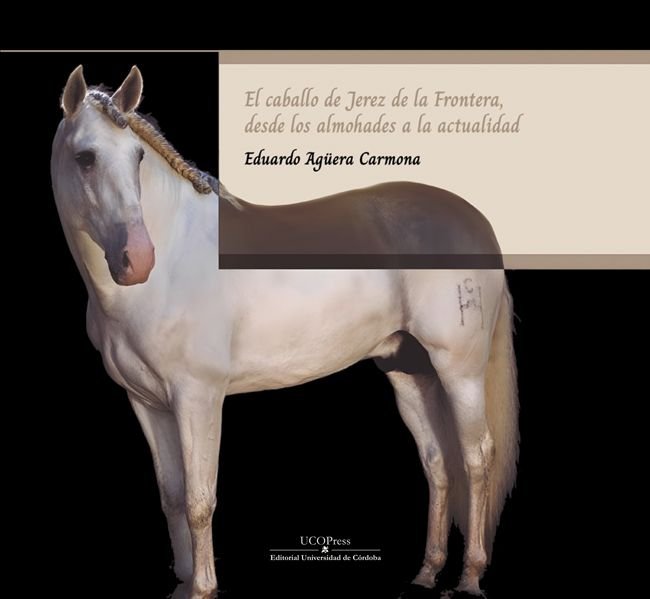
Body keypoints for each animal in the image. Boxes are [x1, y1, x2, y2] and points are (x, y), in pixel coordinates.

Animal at [51, 65, 518, 599]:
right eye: (85, 158)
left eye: (138, 157)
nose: (137, 260)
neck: (173, 261)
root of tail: (476, 222)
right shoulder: (147, 402)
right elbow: (172, 496)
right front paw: (184, 583)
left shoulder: (197, 396)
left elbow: (199, 498)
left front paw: (203, 588)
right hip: (408, 371)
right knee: (438, 463)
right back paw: (425, 573)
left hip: (459, 370)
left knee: (476, 458)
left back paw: (470, 577)